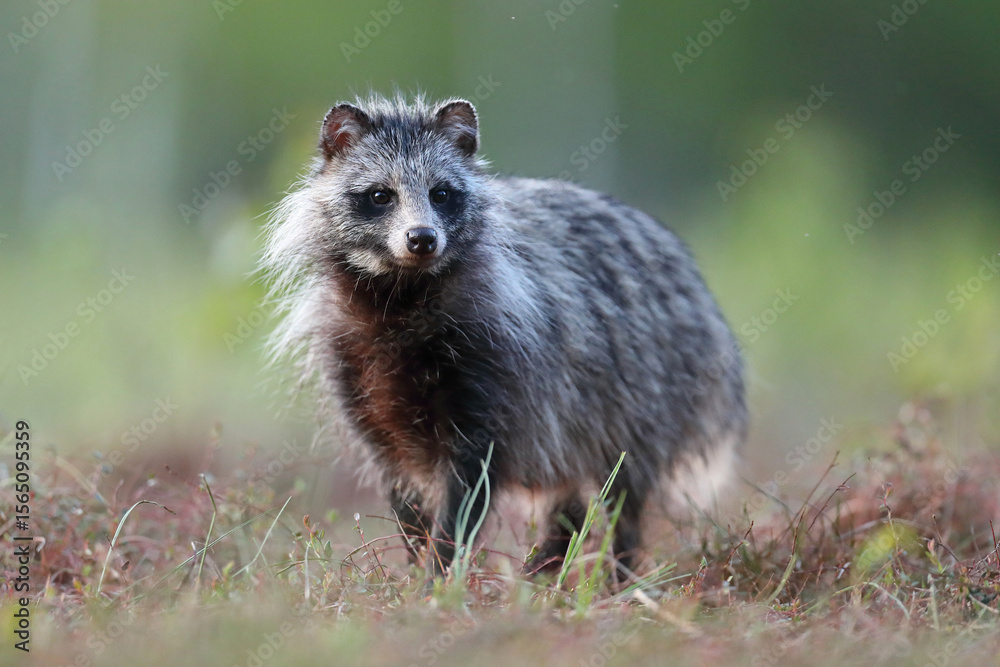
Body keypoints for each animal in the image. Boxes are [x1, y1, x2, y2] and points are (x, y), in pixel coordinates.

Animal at [261, 94, 746, 578]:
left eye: (442, 194)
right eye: (380, 195)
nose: (422, 238)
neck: (402, 296)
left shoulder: (495, 361)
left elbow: (471, 483)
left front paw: (440, 572)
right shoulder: (357, 370)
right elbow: (401, 486)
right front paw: (417, 560)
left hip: (644, 393)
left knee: (621, 491)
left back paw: (615, 571)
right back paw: (547, 565)